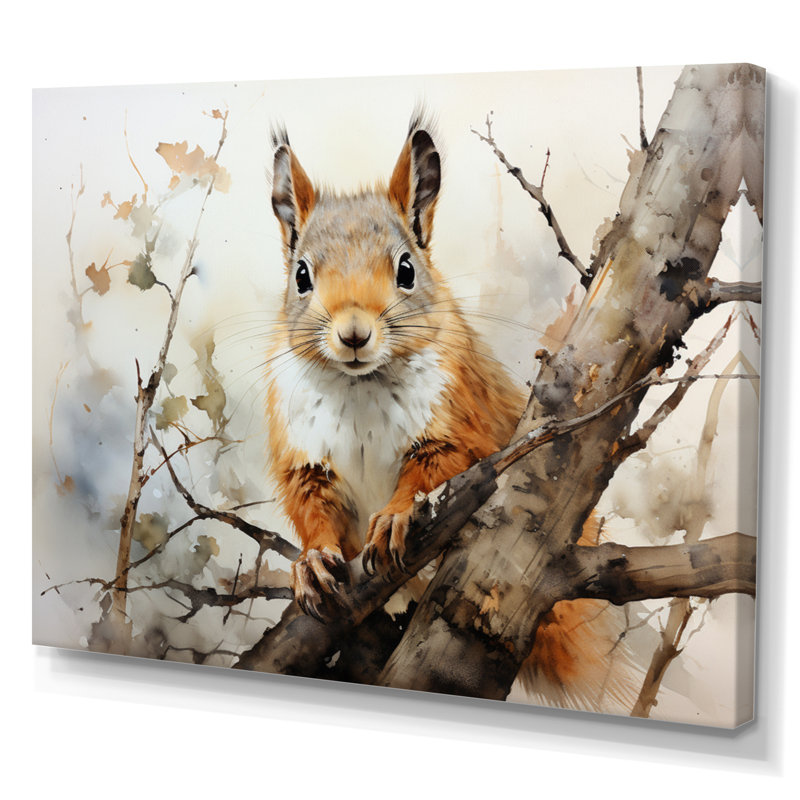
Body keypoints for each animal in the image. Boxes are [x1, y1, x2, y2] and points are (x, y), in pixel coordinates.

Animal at [264, 116, 643, 709]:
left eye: (406, 269)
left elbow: (435, 471)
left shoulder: (458, 424)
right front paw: (310, 564)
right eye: (301, 276)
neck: (360, 384)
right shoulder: (304, 455)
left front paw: (395, 518)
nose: (353, 333)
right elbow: (312, 508)